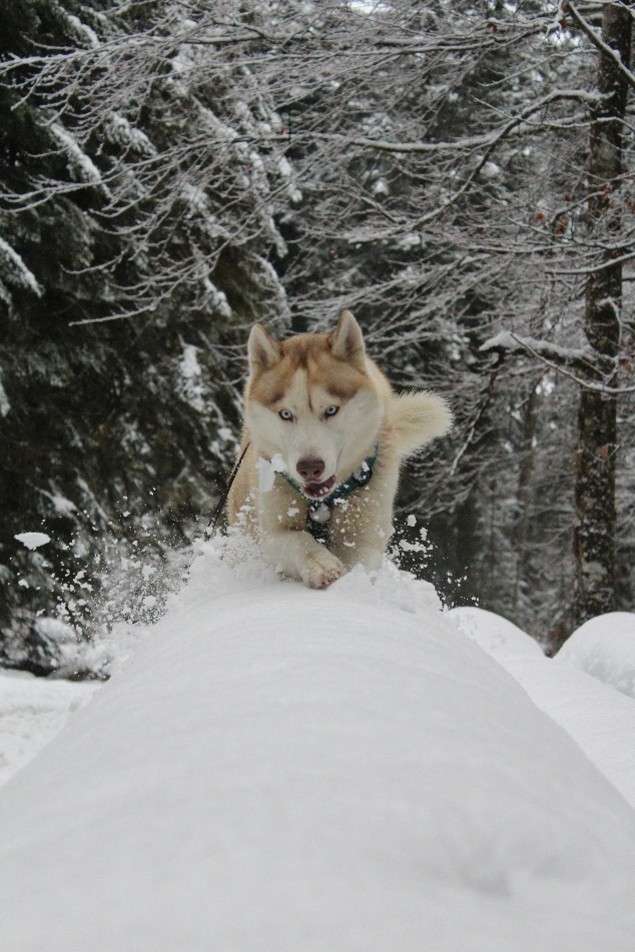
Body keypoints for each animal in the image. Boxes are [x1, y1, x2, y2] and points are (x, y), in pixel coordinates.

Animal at [229, 310, 452, 588]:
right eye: (286, 414)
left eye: (331, 410)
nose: (310, 467)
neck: (323, 503)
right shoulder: (268, 531)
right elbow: (296, 540)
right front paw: (321, 564)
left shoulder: (364, 536)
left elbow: (358, 560)